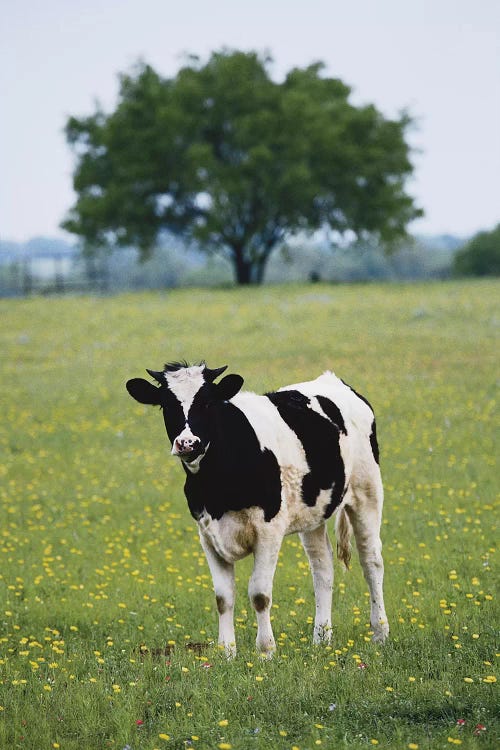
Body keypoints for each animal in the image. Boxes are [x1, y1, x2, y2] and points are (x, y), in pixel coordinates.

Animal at [126, 364, 390, 656]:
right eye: (166, 405)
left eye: (207, 402)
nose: (187, 443)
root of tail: (333, 380)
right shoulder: (207, 534)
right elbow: (223, 597)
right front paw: (227, 652)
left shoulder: (268, 530)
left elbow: (260, 594)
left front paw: (266, 651)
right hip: (314, 512)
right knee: (322, 568)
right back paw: (321, 639)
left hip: (367, 490)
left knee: (371, 560)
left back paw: (380, 633)